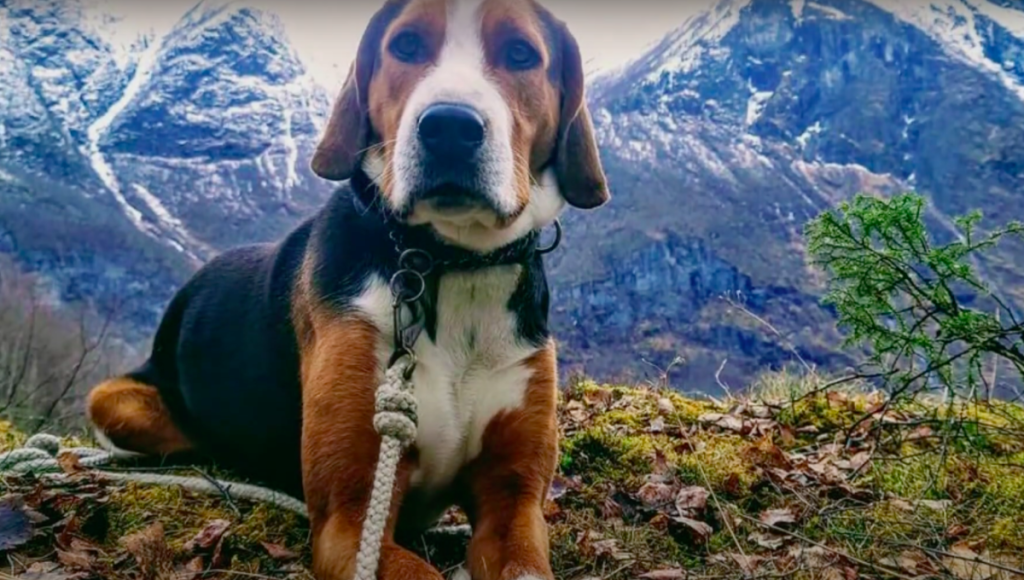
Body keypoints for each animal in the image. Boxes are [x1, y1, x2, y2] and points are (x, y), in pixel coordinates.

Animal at [86, 0, 606, 577]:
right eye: (406, 45)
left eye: (520, 54)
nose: (449, 126)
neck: (451, 265)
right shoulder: (350, 522)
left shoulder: (515, 501)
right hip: (116, 400)